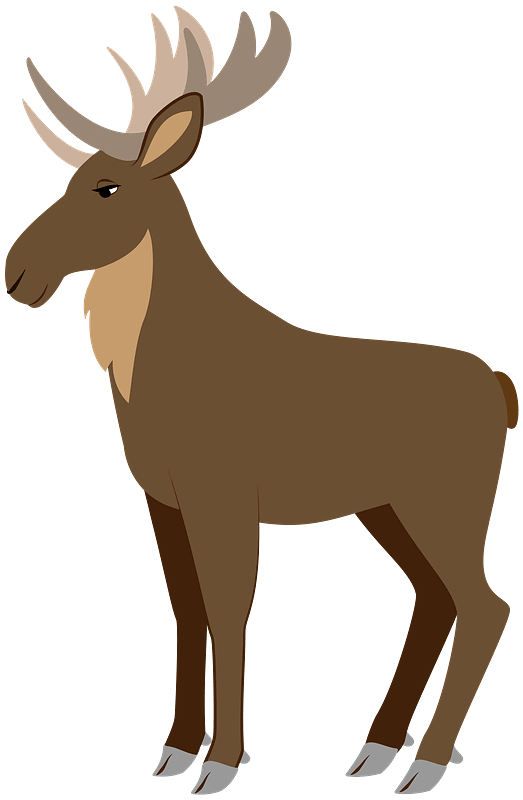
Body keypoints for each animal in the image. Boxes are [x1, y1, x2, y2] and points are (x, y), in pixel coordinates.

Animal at [5, 5, 517, 796]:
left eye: (106, 187)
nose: (16, 272)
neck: (145, 374)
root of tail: (500, 387)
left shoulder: (222, 494)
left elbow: (228, 609)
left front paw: (221, 762)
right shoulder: (161, 497)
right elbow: (185, 610)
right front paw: (176, 749)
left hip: (448, 502)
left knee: (486, 605)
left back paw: (426, 762)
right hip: (387, 508)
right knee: (434, 598)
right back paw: (379, 747)